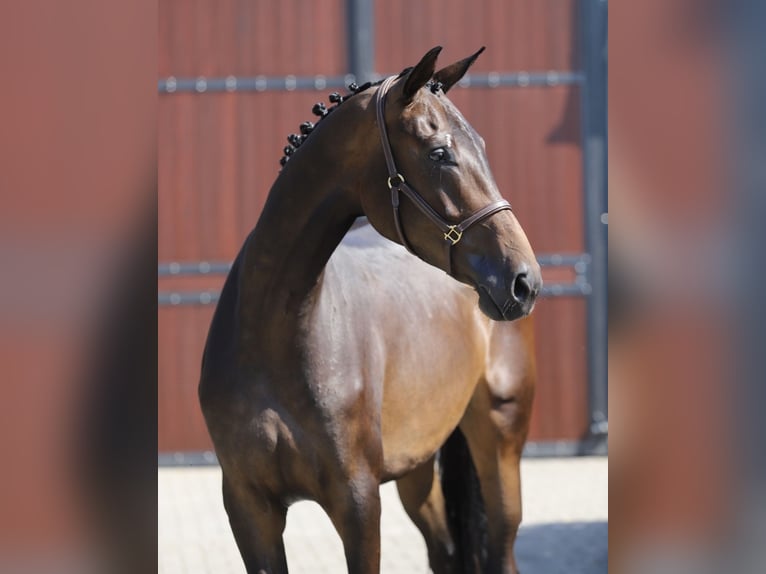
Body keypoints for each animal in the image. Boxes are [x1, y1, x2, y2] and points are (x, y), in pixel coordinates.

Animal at [199, 46, 542, 574]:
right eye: (438, 153)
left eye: (482, 146)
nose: (524, 280)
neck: (274, 338)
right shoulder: (248, 507)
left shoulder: (358, 503)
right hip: (416, 468)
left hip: (500, 443)